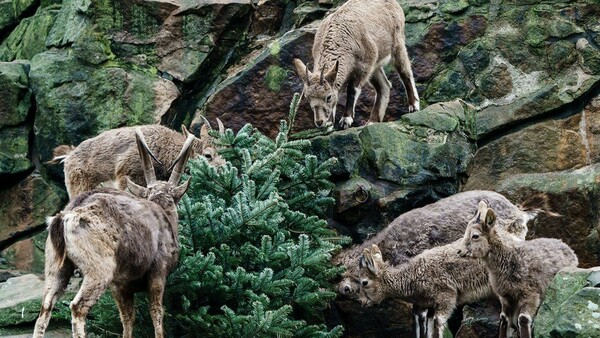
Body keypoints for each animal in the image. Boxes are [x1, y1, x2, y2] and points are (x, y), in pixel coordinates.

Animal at [32, 128, 195, 336]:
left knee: (45, 308)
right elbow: (157, 312)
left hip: (55, 266)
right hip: (99, 268)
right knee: (77, 307)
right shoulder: (158, 270)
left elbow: (127, 317)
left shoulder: (120, 284)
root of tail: (62, 220)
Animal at [292, 0, 420, 129]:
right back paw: (373, 120)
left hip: (397, 45)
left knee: (405, 73)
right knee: (384, 86)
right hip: (375, 66)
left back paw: (414, 105)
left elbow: (352, 89)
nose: (319, 122)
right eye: (308, 97)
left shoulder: (363, 66)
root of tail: (394, 4)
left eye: (328, 96)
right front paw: (330, 122)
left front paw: (346, 119)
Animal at [460, 201, 576, 338]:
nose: (459, 251)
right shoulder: (506, 297)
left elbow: (524, 319)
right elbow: (504, 319)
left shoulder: (531, 295)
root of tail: (569, 249)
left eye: (475, 236)